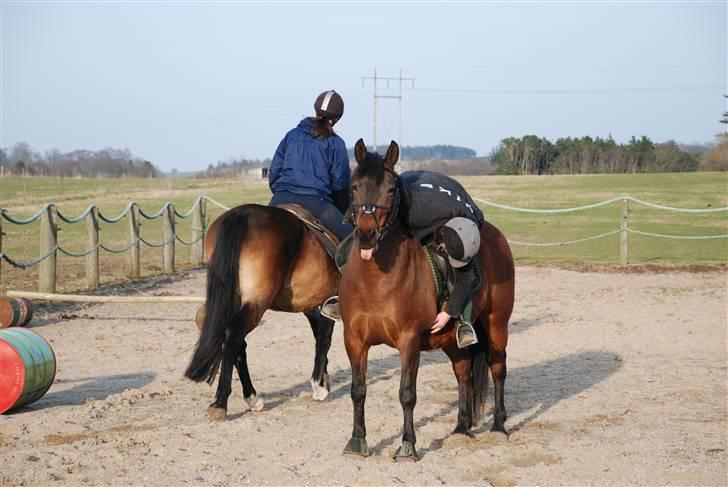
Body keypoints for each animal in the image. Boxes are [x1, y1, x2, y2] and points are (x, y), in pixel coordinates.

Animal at [185, 204, 338, 422]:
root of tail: (242, 214)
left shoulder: (312, 303)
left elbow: (319, 334)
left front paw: (323, 380)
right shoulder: (329, 298)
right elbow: (324, 338)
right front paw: (320, 386)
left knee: (233, 339)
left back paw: (251, 398)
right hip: (256, 304)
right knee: (233, 334)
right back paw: (221, 403)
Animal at [340, 140, 516, 462]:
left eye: (390, 190)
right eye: (354, 186)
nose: (367, 234)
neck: (376, 283)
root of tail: (495, 235)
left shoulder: (409, 341)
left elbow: (407, 394)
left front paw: (408, 445)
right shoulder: (354, 339)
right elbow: (358, 390)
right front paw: (357, 440)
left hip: (498, 324)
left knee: (498, 369)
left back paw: (498, 426)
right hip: (452, 339)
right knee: (463, 373)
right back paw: (461, 428)